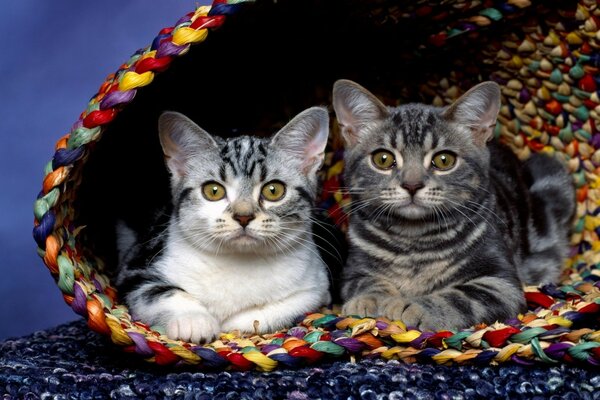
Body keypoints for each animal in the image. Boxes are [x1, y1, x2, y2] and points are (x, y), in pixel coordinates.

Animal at [114, 107, 330, 344]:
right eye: (213, 191)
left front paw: (235, 323)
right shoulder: (134, 268)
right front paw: (194, 320)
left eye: (273, 190)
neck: (238, 260)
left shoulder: (315, 284)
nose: (243, 216)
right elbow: (160, 291)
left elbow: (289, 304)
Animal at [330, 79, 576, 332]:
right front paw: (375, 298)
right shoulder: (352, 272)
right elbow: (367, 281)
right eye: (383, 159)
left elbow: (458, 297)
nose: (411, 184)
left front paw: (413, 305)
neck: (413, 242)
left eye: (443, 160)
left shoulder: (500, 283)